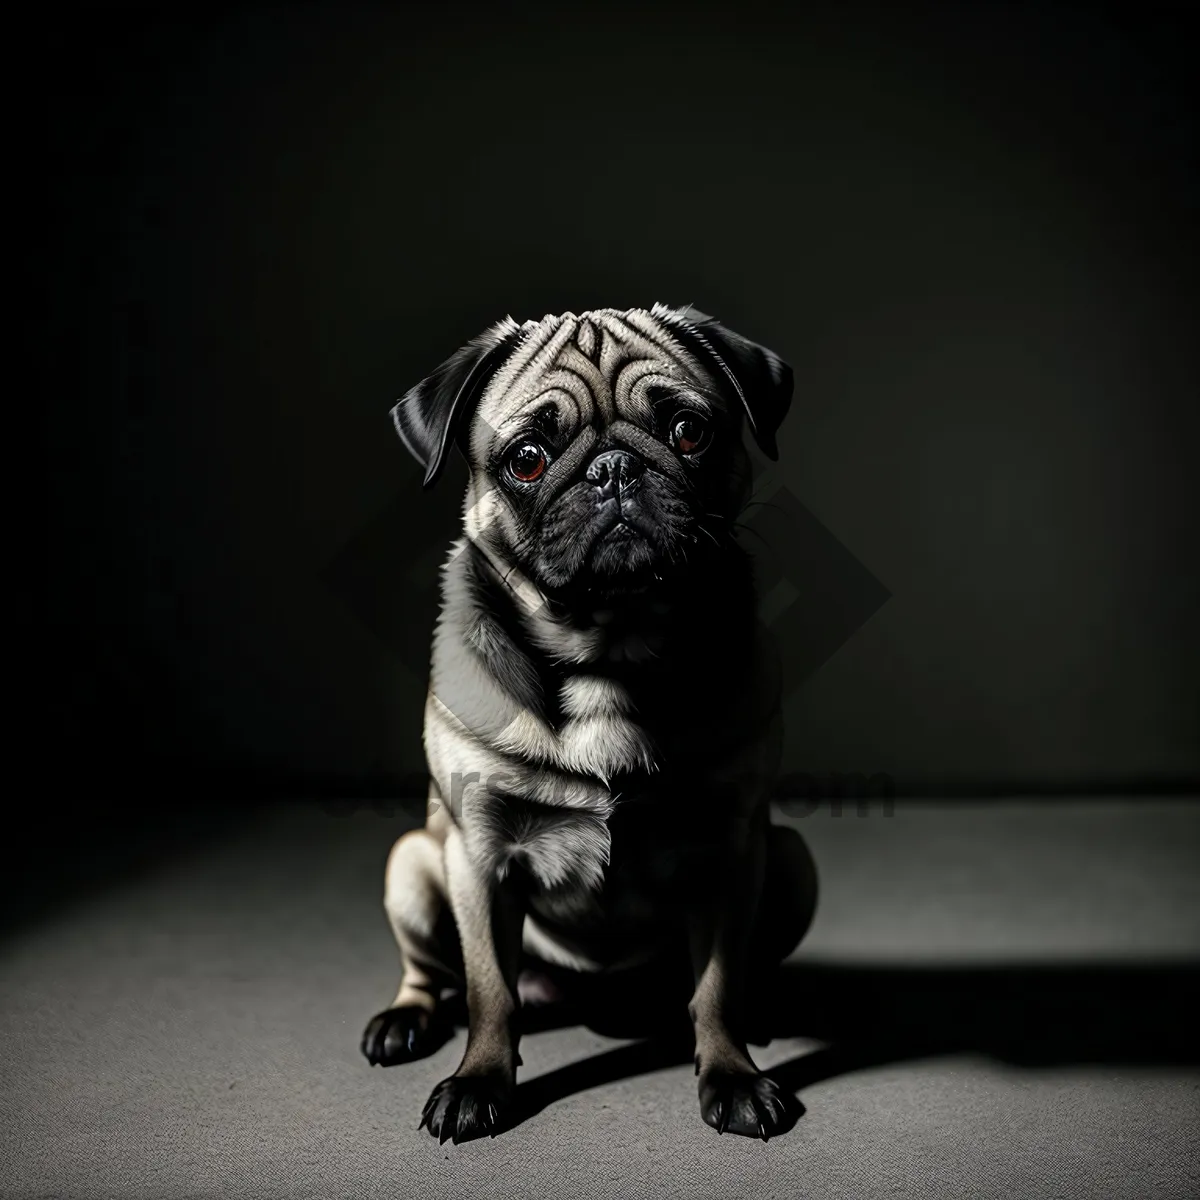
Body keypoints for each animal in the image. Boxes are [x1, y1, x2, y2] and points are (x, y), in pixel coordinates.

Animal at [360, 302, 820, 1142]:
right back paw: (405, 1021)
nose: (613, 470)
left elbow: (717, 985)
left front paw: (732, 1074)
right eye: (527, 459)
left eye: (689, 432)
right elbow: (489, 990)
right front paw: (479, 1081)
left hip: (790, 860)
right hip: (412, 863)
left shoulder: (730, 849)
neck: (611, 647)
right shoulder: (478, 857)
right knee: (434, 973)